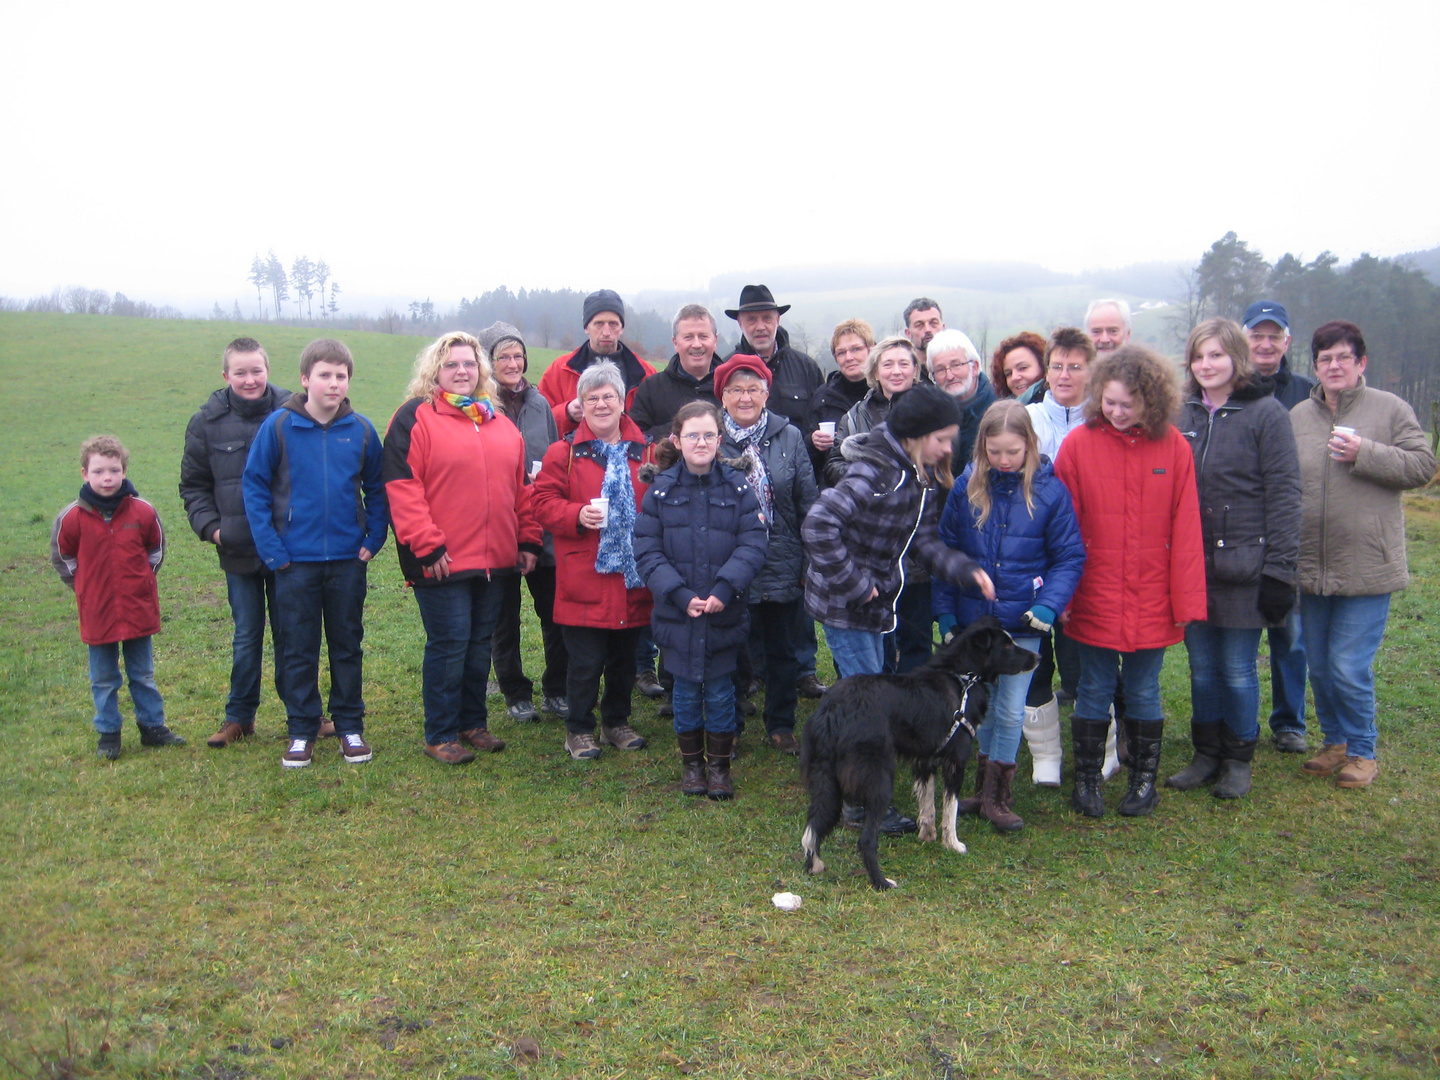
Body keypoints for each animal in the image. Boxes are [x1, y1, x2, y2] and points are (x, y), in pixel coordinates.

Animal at [800, 622, 1036, 892]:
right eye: (1006, 646)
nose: (1037, 657)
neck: (962, 677)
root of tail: (832, 712)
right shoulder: (956, 760)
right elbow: (950, 807)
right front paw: (952, 844)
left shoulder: (925, 760)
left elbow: (927, 803)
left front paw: (927, 834)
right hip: (878, 780)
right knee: (866, 840)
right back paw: (882, 883)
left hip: (825, 780)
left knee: (812, 829)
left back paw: (815, 865)